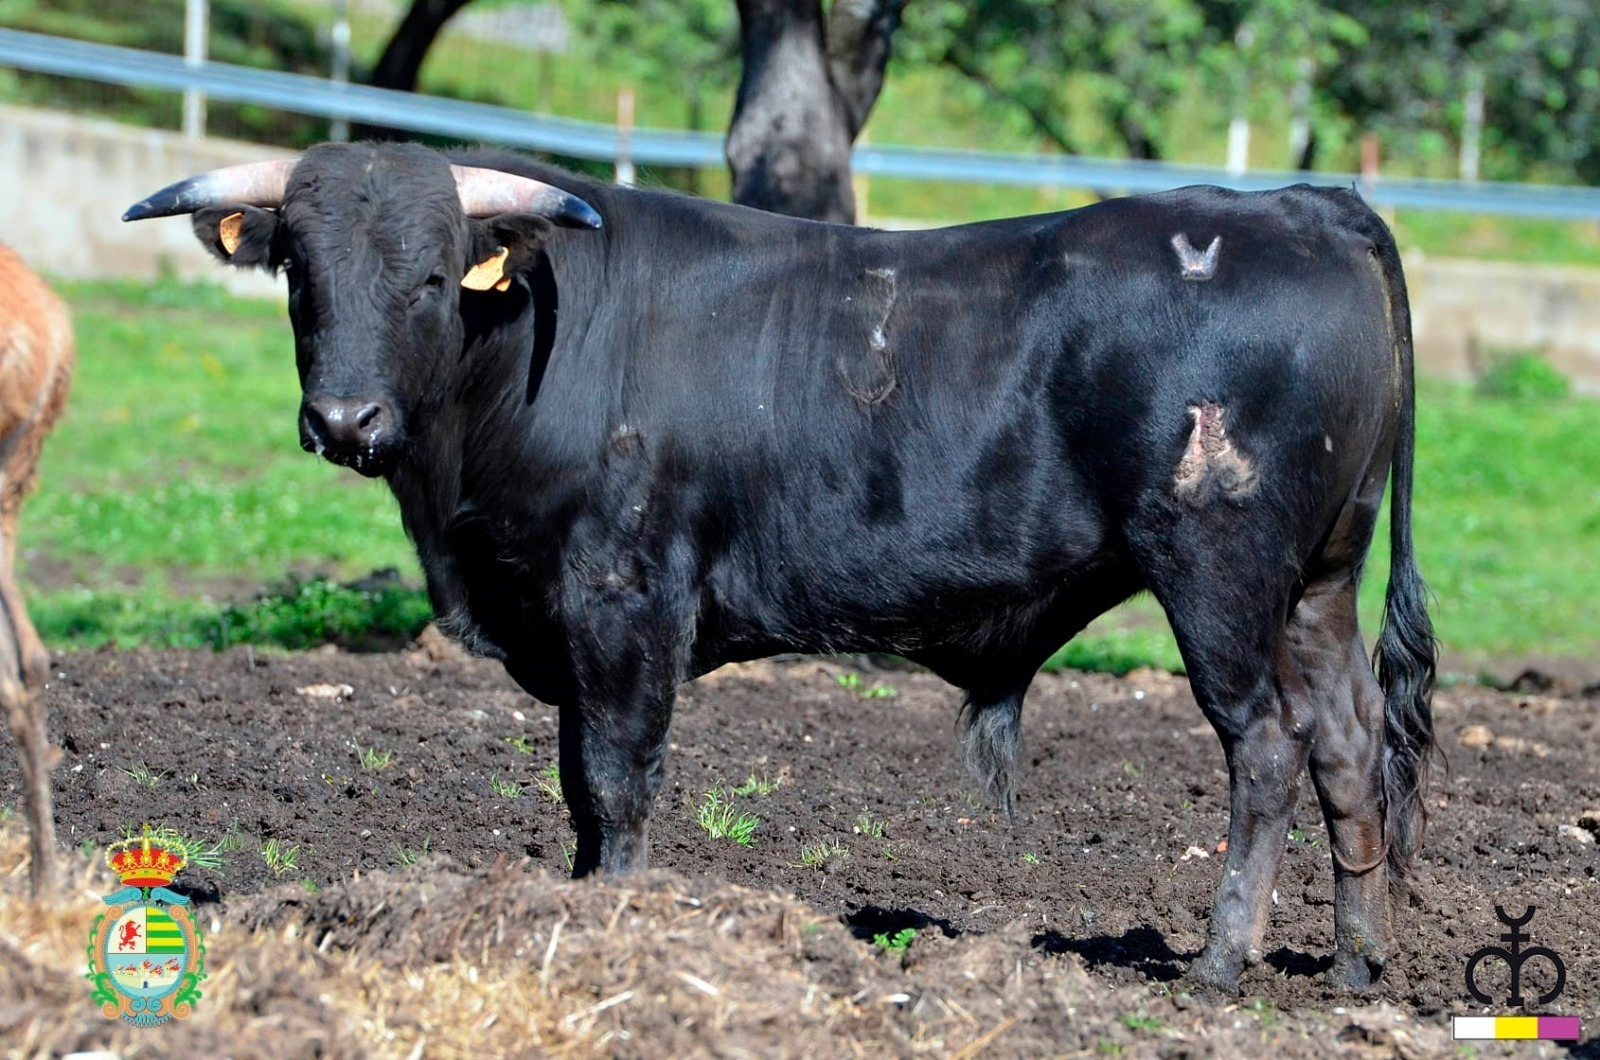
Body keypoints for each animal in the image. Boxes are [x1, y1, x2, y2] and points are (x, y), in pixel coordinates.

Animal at [124, 143, 1435, 993]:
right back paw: (1358, 961)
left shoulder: (623, 599)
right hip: (1318, 580)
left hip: (1218, 570)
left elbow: (613, 779)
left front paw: (611, 922)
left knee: (1266, 745)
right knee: (1348, 737)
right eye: (300, 269)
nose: (346, 419)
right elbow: (576, 786)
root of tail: (1296, 207)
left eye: (434, 273)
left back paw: (1218, 962)